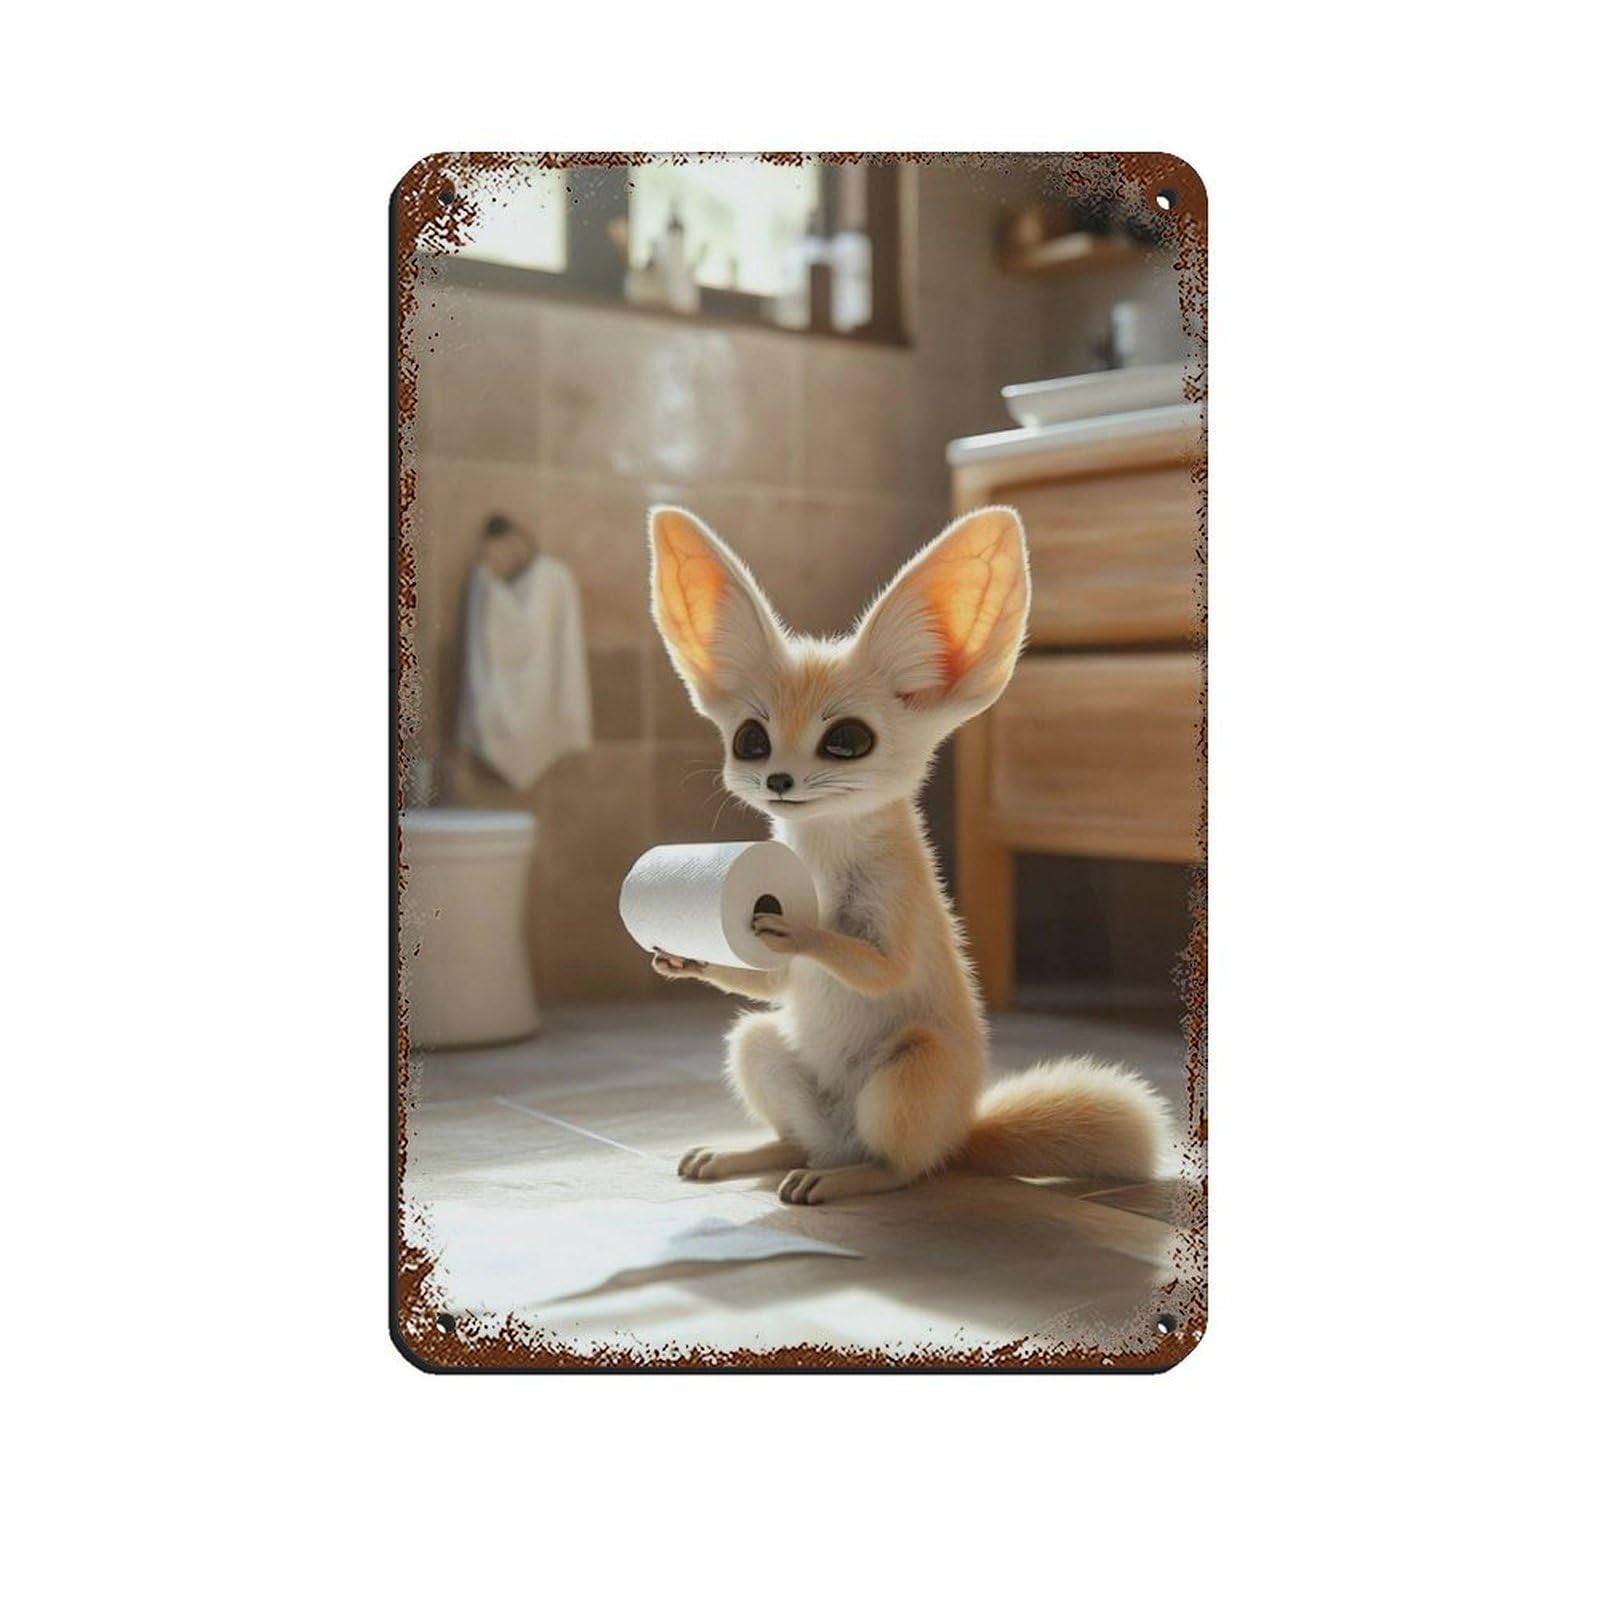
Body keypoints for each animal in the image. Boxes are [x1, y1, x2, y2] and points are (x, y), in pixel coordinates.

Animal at [646, 503, 1172, 1205]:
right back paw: (748, 1155)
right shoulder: (777, 984)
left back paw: (843, 1180)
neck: (822, 854)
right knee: (796, 1133)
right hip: (756, 1045)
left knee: (901, 1168)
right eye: (750, 741)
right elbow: (770, 982)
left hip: (913, 1065)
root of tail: (960, 1136)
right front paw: (683, 959)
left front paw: (799, 930)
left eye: (846, 740)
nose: (778, 781)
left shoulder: (898, 914)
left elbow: (874, 966)